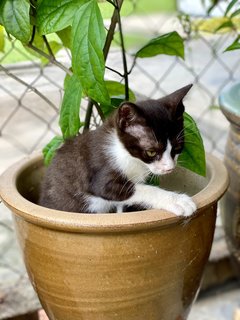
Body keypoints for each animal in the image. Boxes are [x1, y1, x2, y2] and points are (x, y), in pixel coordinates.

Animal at [39, 84, 197, 216]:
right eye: (151, 152)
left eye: (177, 147)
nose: (169, 168)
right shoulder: (100, 172)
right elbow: (137, 189)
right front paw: (178, 200)